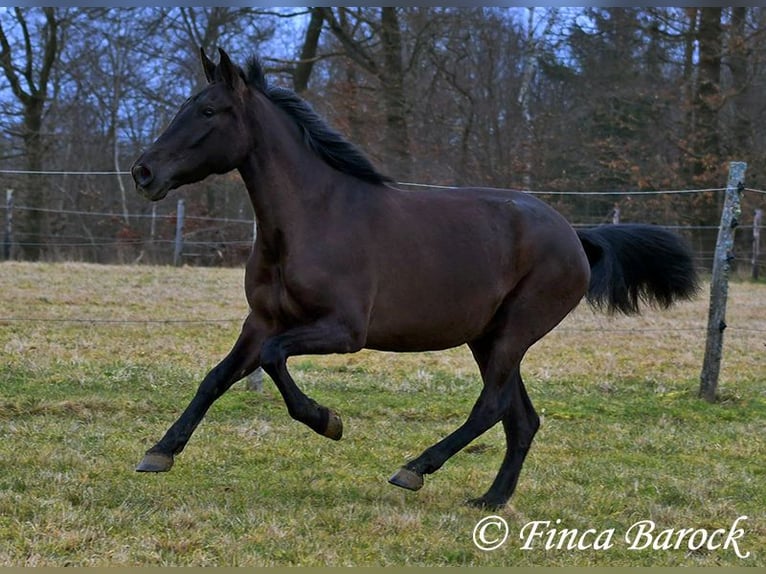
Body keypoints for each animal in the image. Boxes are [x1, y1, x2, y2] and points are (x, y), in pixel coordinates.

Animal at [132, 47, 704, 510]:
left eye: (208, 111)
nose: (143, 172)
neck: (314, 217)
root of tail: (575, 236)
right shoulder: (262, 321)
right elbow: (215, 378)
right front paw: (159, 453)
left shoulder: (343, 331)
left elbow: (274, 362)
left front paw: (328, 421)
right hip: (488, 337)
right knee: (520, 418)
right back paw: (491, 499)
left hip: (515, 331)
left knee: (491, 406)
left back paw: (414, 469)